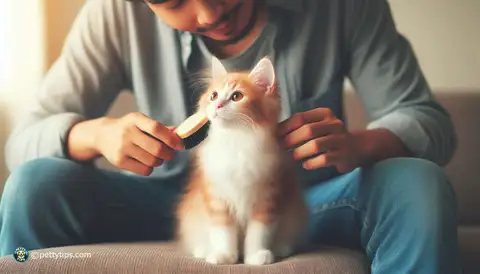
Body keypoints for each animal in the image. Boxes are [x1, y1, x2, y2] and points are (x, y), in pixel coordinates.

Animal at [175, 56, 308, 266]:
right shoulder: (218, 198)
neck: (236, 139)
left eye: (236, 96)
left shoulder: (267, 199)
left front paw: (256, 256)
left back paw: (281, 248)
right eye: (214, 95)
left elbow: (258, 233)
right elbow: (223, 232)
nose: (217, 105)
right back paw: (204, 250)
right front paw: (224, 255)